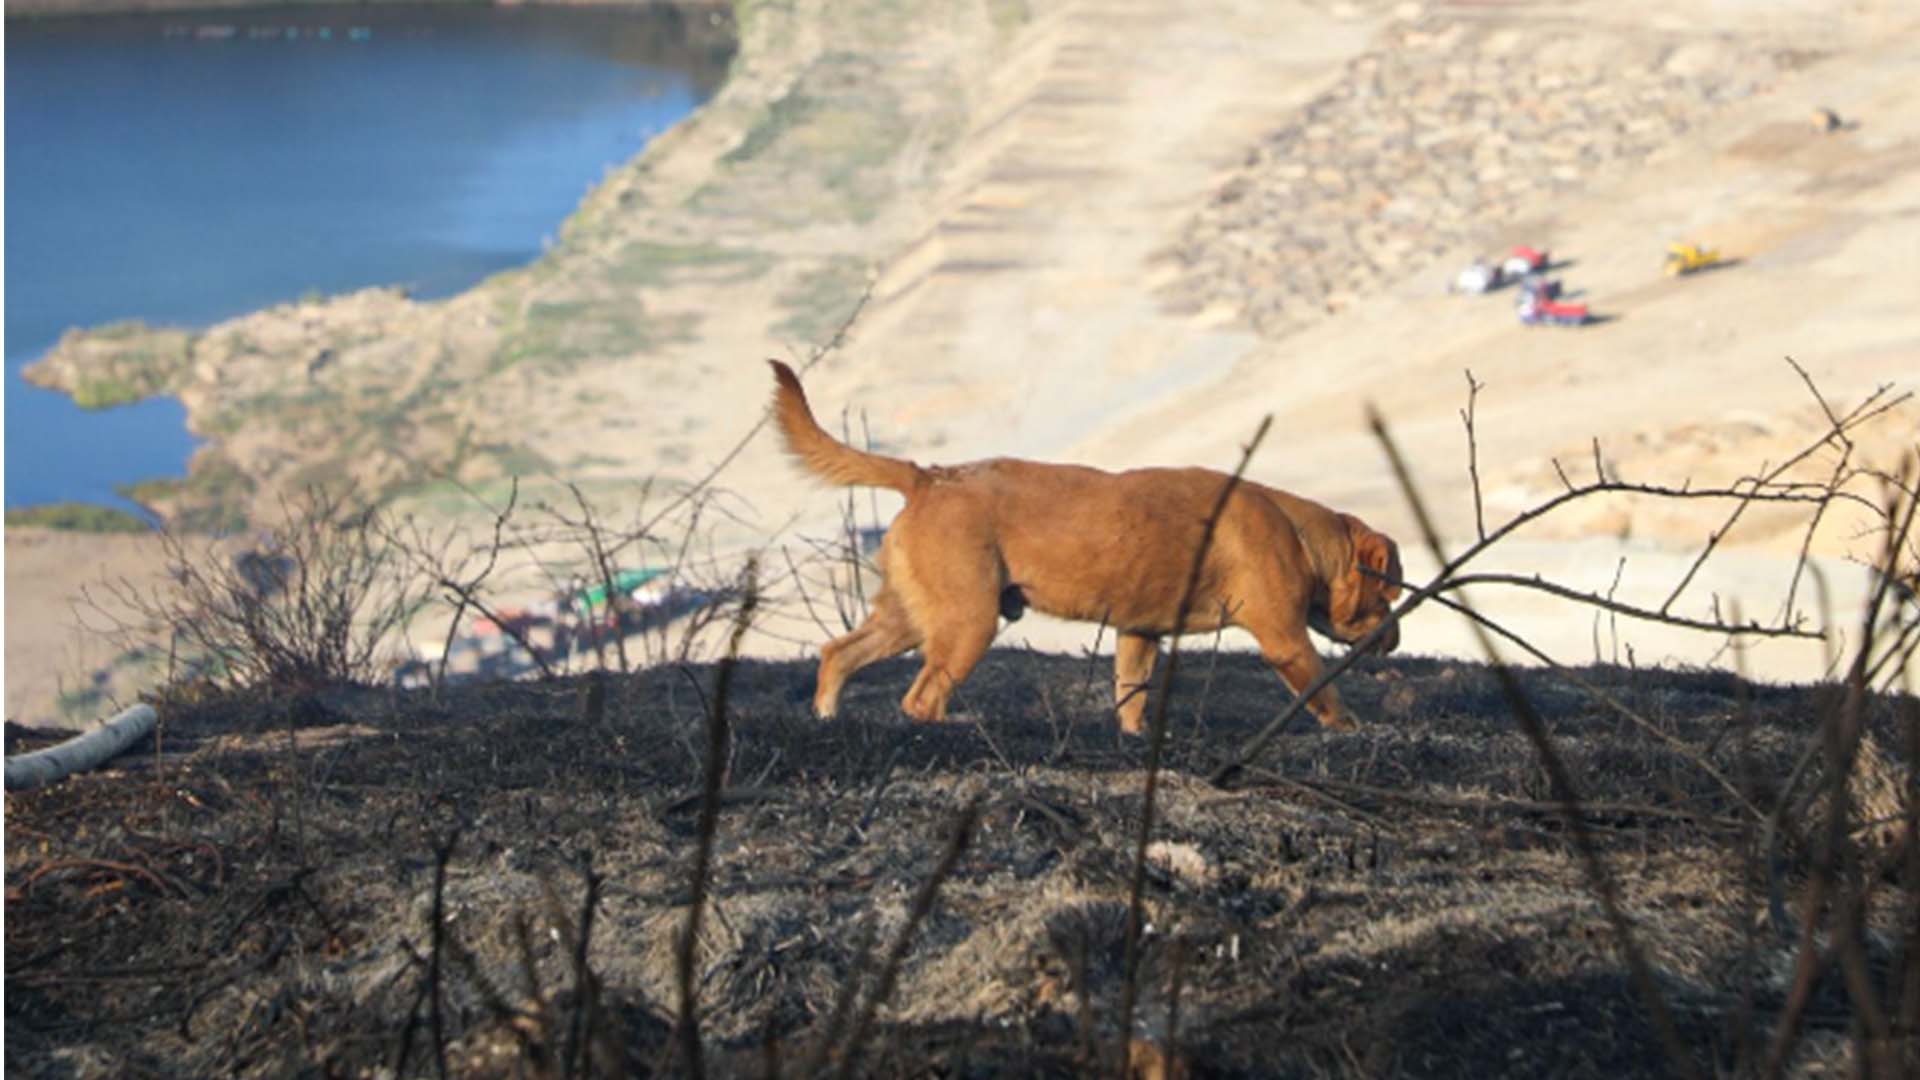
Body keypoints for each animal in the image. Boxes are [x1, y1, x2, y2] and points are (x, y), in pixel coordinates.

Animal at [768, 357, 1413, 726]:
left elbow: (1132, 699)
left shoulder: (1139, 634)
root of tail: (928, 475)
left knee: (838, 653)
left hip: (911, 616)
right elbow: (1328, 699)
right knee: (922, 699)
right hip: (968, 621)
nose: (1398, 639)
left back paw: (826, 718)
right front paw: (1353, 732)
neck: (1303, 537)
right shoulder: (1284, 640)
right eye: (1390, 594)